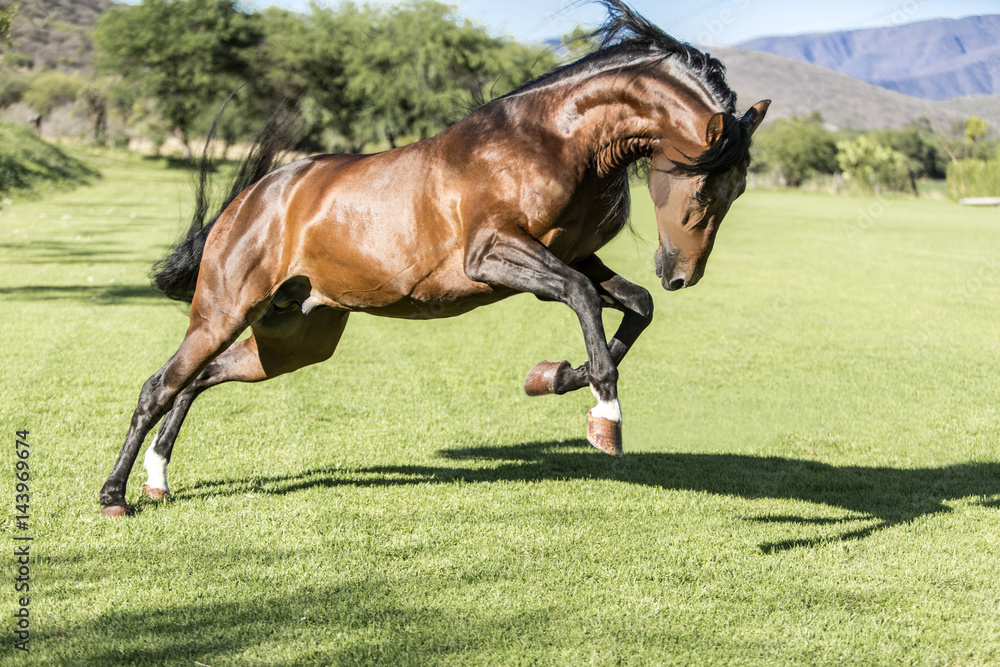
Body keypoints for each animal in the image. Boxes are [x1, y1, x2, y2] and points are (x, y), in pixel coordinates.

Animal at [99, 0, 769, 517]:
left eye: (737, 192)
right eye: (705, 189)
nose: (680, 274)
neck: (552, 140)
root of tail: (251, 200)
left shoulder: (575, 256)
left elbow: (635, 306)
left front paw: (554, 377)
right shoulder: (493, 256)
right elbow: (583, 300)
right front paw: (604, 413)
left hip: (293, 339)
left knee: (197, 378)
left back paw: (157, 479)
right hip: (226, 310)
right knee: (161, 384)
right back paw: (115, 496)